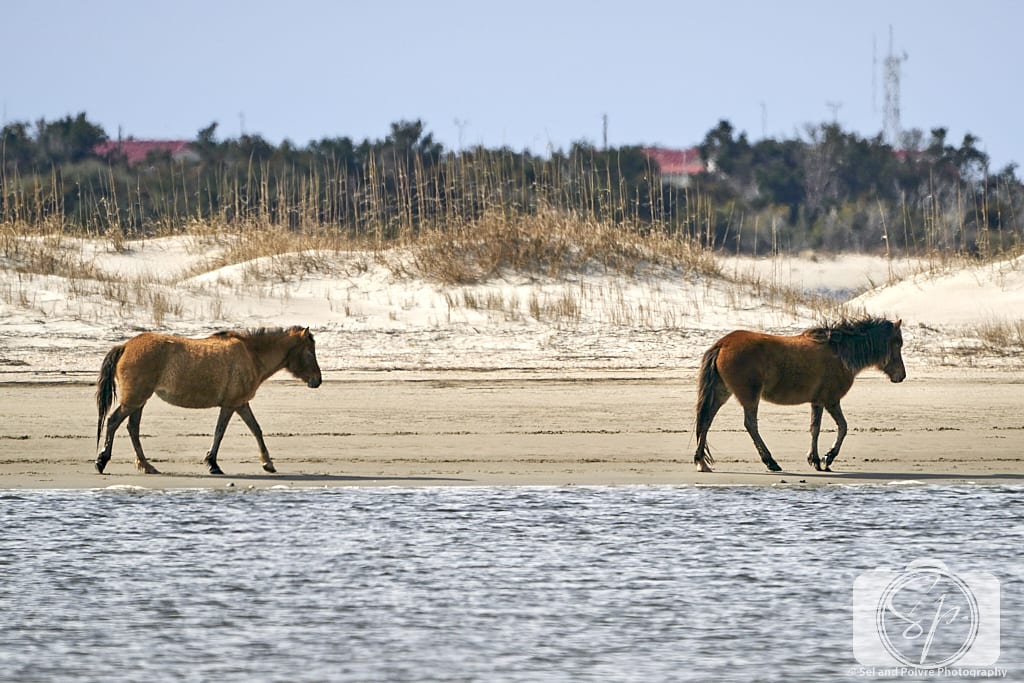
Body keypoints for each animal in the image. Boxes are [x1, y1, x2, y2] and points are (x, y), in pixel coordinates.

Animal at [95, 326, 322, 475]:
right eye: (310, 353)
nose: (317, 380)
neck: (251, 355)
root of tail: (125, 345)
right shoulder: (231, 405)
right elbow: (220, 432)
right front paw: (213, 464)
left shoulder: (240, 404)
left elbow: (256, 429)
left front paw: (267, 463)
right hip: (135, 400)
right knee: (114, 422)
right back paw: (102, 461)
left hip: (139, 401)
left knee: (132, 428)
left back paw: (146, 465)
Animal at [693, 317, 905, 473]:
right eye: (897, 344)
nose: (901, 376)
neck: (840, 353)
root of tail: (722, 344)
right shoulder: (830, 400)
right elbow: (842, 427)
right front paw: (827, 458)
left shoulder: (818, 401)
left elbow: (815, 428)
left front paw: (816, 459)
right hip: (749, 396)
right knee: (750, 424)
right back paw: (771, 462)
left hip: (722, 392)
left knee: (706, 420)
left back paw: (701, 461)